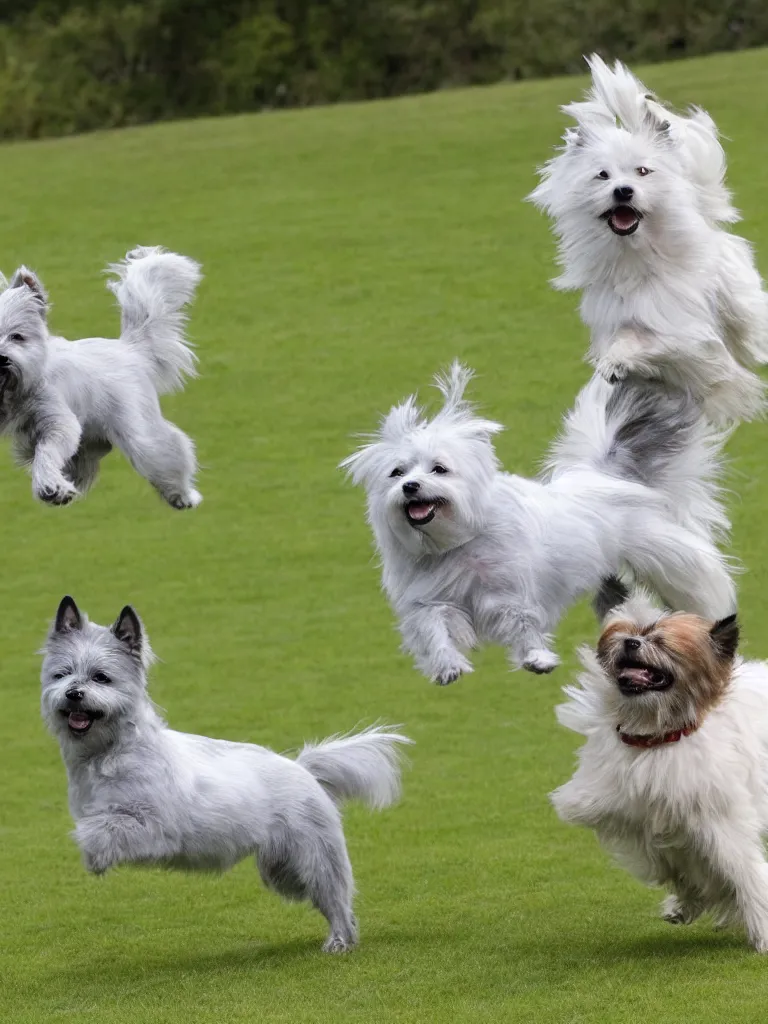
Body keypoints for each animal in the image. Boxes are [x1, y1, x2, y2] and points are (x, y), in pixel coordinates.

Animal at [0, 243, 201, 507]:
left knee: (170, 450)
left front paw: (51, 487)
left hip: (140, 434)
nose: (2, 359)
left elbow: (47, 450)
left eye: (17, 337)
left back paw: (183, 495)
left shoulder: (56, 419)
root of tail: (129, 348)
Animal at [40, 598, 415, 954]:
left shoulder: (155, 826)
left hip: (315, 856)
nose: (73, 694)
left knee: (336, 900)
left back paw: (339, 941)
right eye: (62, 675)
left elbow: (101, 828)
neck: (110, 752)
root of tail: (302, 769)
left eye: (101, 677)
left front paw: (95, 857)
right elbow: (98, 822)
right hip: (281, 869)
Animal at [342, 364, 733, 684]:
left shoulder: (511, 593)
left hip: (667, 557)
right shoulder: (431, 601)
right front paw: (447, 666)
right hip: (608, 580)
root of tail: (604, 475)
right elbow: (435, 630)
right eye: (397, 472)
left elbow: (523, 625)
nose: (410, 487)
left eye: (439, 468)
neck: (457, 545)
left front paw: (537, 658)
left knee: (699, 582)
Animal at [528, 55, 768, 423]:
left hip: (742, 308)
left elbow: (653, 342)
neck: (636, 257)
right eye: (602, 175)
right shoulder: (617, 321)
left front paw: (618, 361)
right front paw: (613, 364)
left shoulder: (683, 331)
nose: (623, 191)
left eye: (643, 171)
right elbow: (625, 340)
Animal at [552, 593, 768, 950]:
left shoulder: (719, 822)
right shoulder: (643, 816)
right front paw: (690, 901)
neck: (659, 738)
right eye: (630, 632)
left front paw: (761, 928)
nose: (631, 643)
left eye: (662, 642)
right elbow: (679, 863)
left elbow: (743, 870)